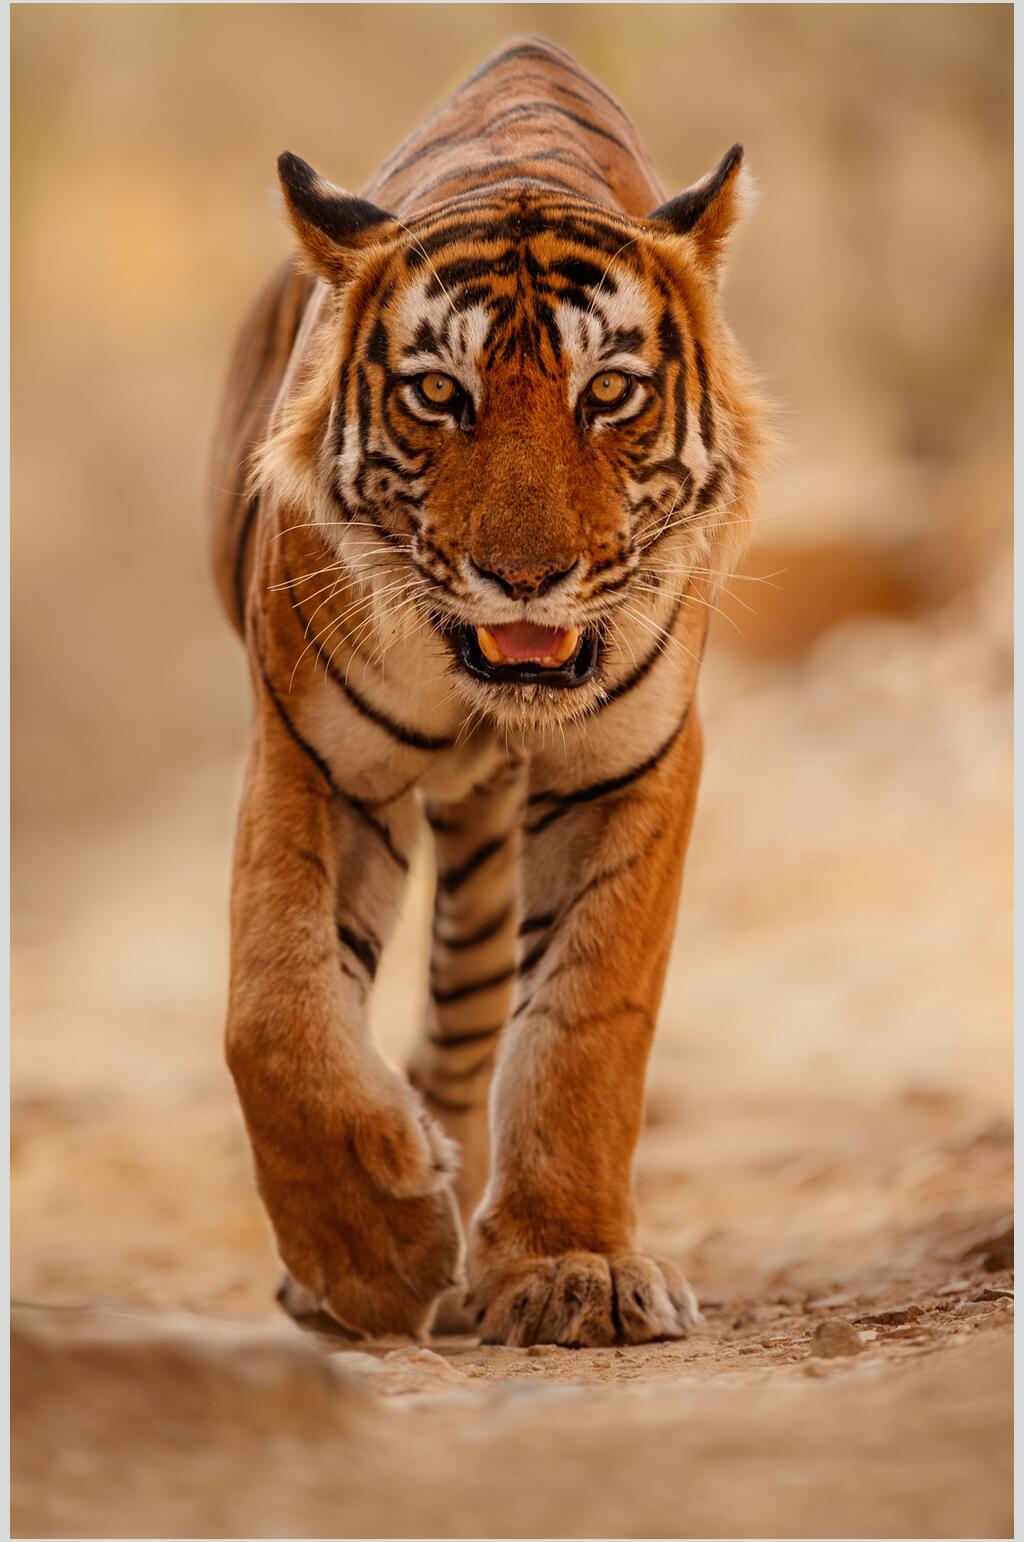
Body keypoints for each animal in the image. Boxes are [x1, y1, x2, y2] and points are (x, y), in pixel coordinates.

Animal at [209, 34, 764, 1348]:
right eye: (437, 395)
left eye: (607, 394)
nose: (525, 578)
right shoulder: (310, 755)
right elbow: (275, 1012)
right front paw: (369, 1253)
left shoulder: (633, 763)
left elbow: (585, 1023)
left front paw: (573, 1268)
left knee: (473, 1030)